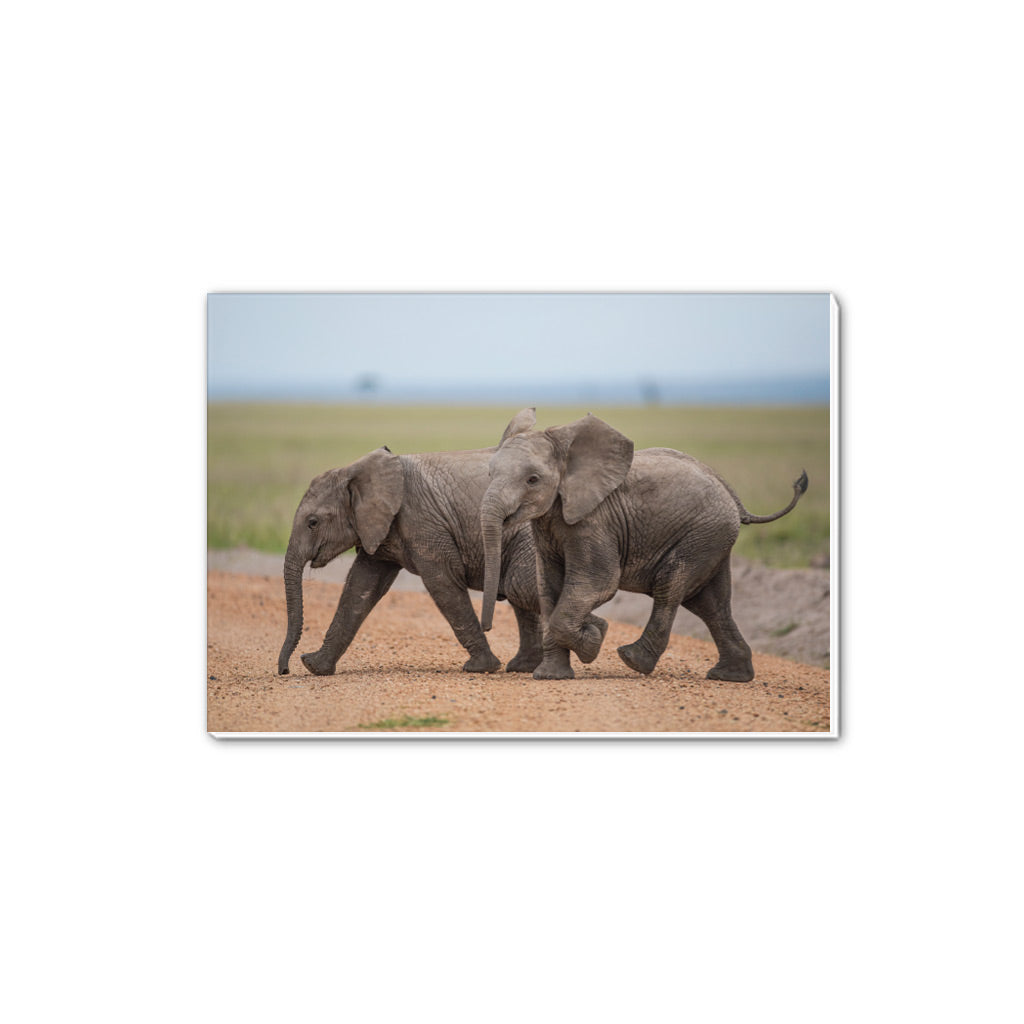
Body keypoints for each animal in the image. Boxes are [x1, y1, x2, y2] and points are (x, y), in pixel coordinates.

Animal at [277, 433, 547, 676]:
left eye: (313, 523)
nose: (284, 670)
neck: (356, 470)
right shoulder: (380, 529)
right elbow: (360, 588)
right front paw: (314, 666)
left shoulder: (422, 522)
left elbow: (443, 584)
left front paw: (481, 667)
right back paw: (522, 667)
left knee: (519, 587)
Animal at [479, 410, 808, 682]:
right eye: (489, 475)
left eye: (533, 480)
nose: (488, 627)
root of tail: (730, 491)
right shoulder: (547, 527)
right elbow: (548, 586)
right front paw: (552, 676)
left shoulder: (596, 520)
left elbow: (598, 582)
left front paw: (594, 639)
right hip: (713, 537)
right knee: (710, 603)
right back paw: (729, 676)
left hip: (703, 533)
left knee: (671, 586)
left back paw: (633, 660)